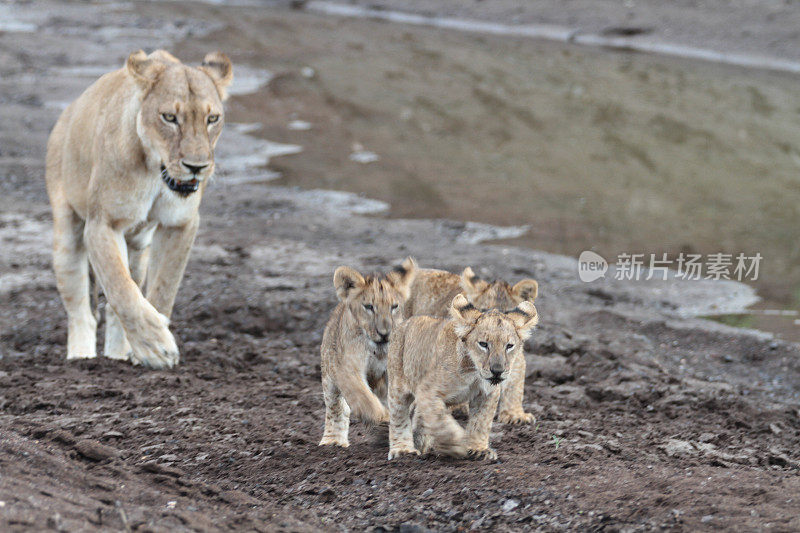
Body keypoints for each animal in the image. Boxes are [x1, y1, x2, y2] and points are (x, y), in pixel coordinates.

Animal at [45, 50, 231, 368]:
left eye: (212, 118)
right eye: (169, 118)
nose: (196, 167)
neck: (156, 172)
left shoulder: (180, 223)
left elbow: (164, 287)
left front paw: (148, 345)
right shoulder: (103, 225)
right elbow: (120, 288)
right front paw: (156, 346)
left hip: (138, 250)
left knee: (118, 301)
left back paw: (119, 354)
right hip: (67, 238)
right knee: (82, 311)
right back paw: (81, 357)